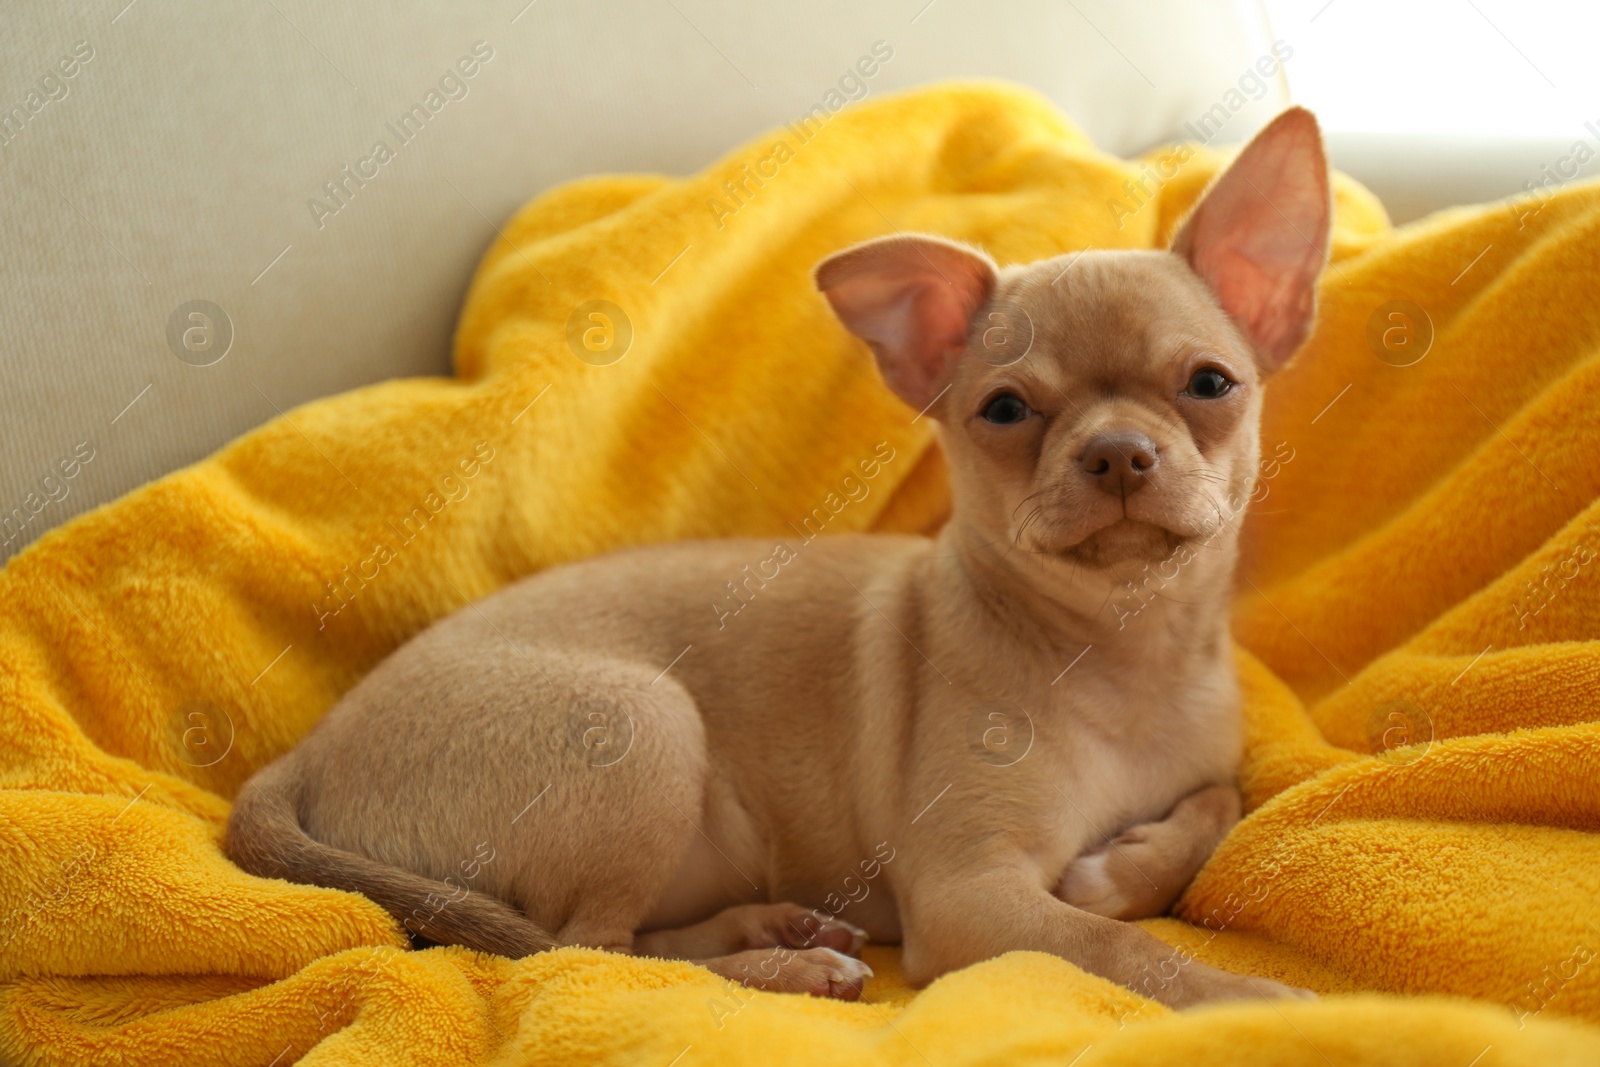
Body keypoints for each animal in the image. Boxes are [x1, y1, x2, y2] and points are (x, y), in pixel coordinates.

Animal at [233, 108, 1337, 1011]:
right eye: (1005, 410)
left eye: (1209, 384)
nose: (1116, 450)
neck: (1117, 650)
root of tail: (309, 750)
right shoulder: (971, 895)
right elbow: (1119, 950)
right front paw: (1242, 995)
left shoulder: (1205, 765)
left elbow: (1219, 804)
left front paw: (1131, 862)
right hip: (641, 724)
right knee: (583, 949)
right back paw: (783, 965)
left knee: (620, 939)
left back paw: (773, 924)